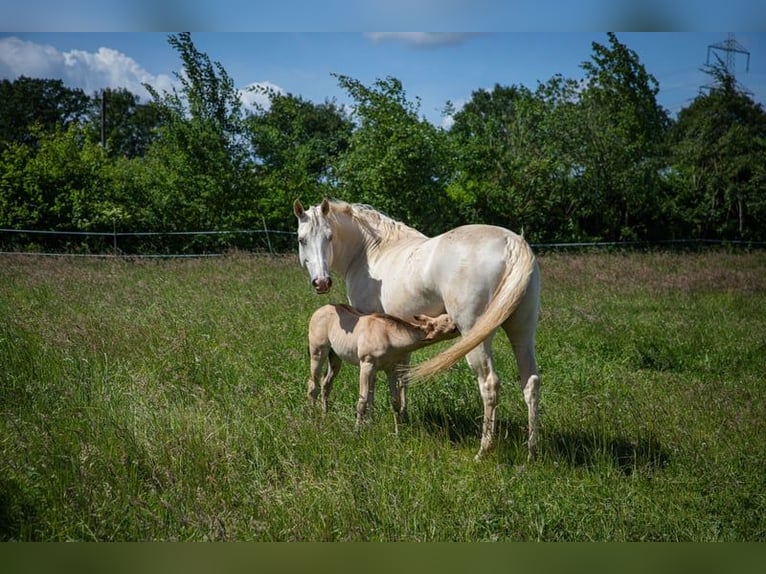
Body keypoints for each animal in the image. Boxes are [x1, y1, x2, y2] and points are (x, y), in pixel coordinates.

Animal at [306, 304, 458, 430]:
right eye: (447, 319)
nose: (458, 325)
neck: (388, 336)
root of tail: (319, 310)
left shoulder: (390, 370)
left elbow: (395, 402)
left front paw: (398, 433)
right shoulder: (366, 366)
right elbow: (362, 402)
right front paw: (357, 432)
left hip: (335, 358)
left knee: (326, 384)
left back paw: (325, 415)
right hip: (317, 353)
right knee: (313, 386)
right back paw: (313, 419)